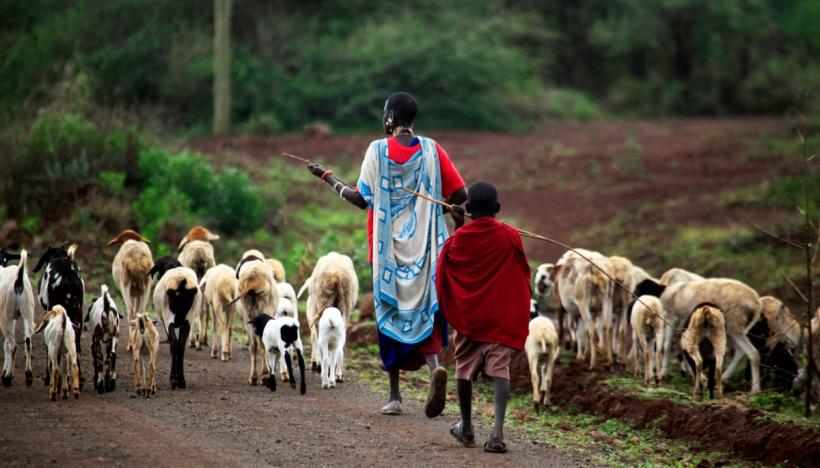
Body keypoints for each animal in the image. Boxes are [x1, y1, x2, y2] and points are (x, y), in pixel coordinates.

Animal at [636, 276, 764, 394]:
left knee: (752, 352)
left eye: (639, 289)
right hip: (731, 329)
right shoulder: (684, 323)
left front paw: (663, 373)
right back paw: (724, 379)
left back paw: (755, 389)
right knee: (741, 352)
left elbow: (667, 346)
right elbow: (682, 346)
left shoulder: (672, 318)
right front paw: (691, 373)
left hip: (734, 325)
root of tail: (756, 304)